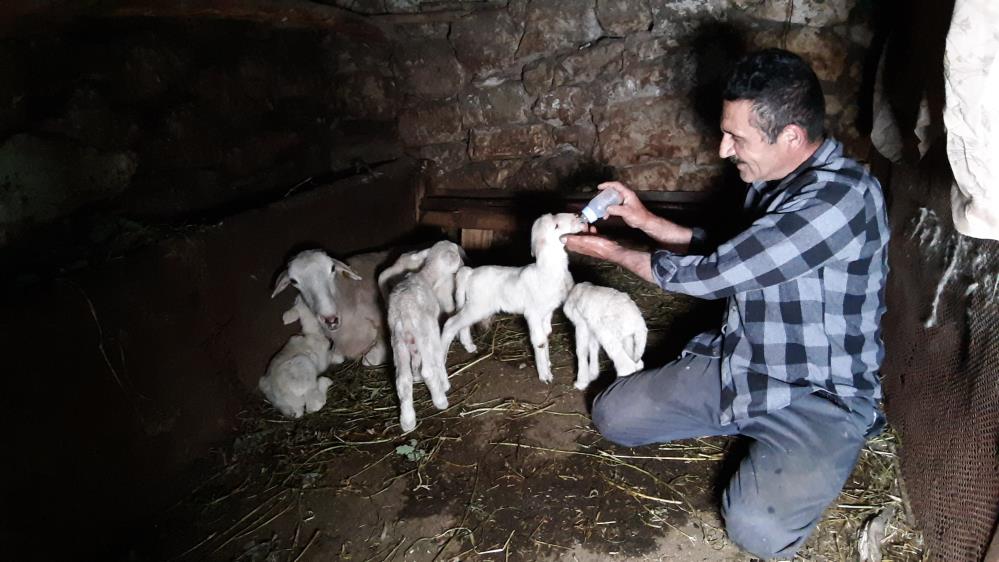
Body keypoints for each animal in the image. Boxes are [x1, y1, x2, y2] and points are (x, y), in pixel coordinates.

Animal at [380, 238, 466, 430]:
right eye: (457, 254)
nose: (463, 264)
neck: (427, 276)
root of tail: (404, 314)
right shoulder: (432, 328)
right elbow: (438, 357)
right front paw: (444, 383)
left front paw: (417, 376)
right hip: (422, 334)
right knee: (428, 370)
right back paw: (440, 400)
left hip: (398, 341)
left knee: (402, 380)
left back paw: (407, 421)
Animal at [442, 212, 588, 382]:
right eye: (556, 225)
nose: (578, 217)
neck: (548, 270)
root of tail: (469, 273)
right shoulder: (533, 313)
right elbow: (539, 341)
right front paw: (545, 375)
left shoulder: (547, 312)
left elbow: (546, 335)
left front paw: (548, 363)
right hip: (478, 306)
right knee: (450, 323)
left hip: (474, 305)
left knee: (461, 323)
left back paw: (469, 346)